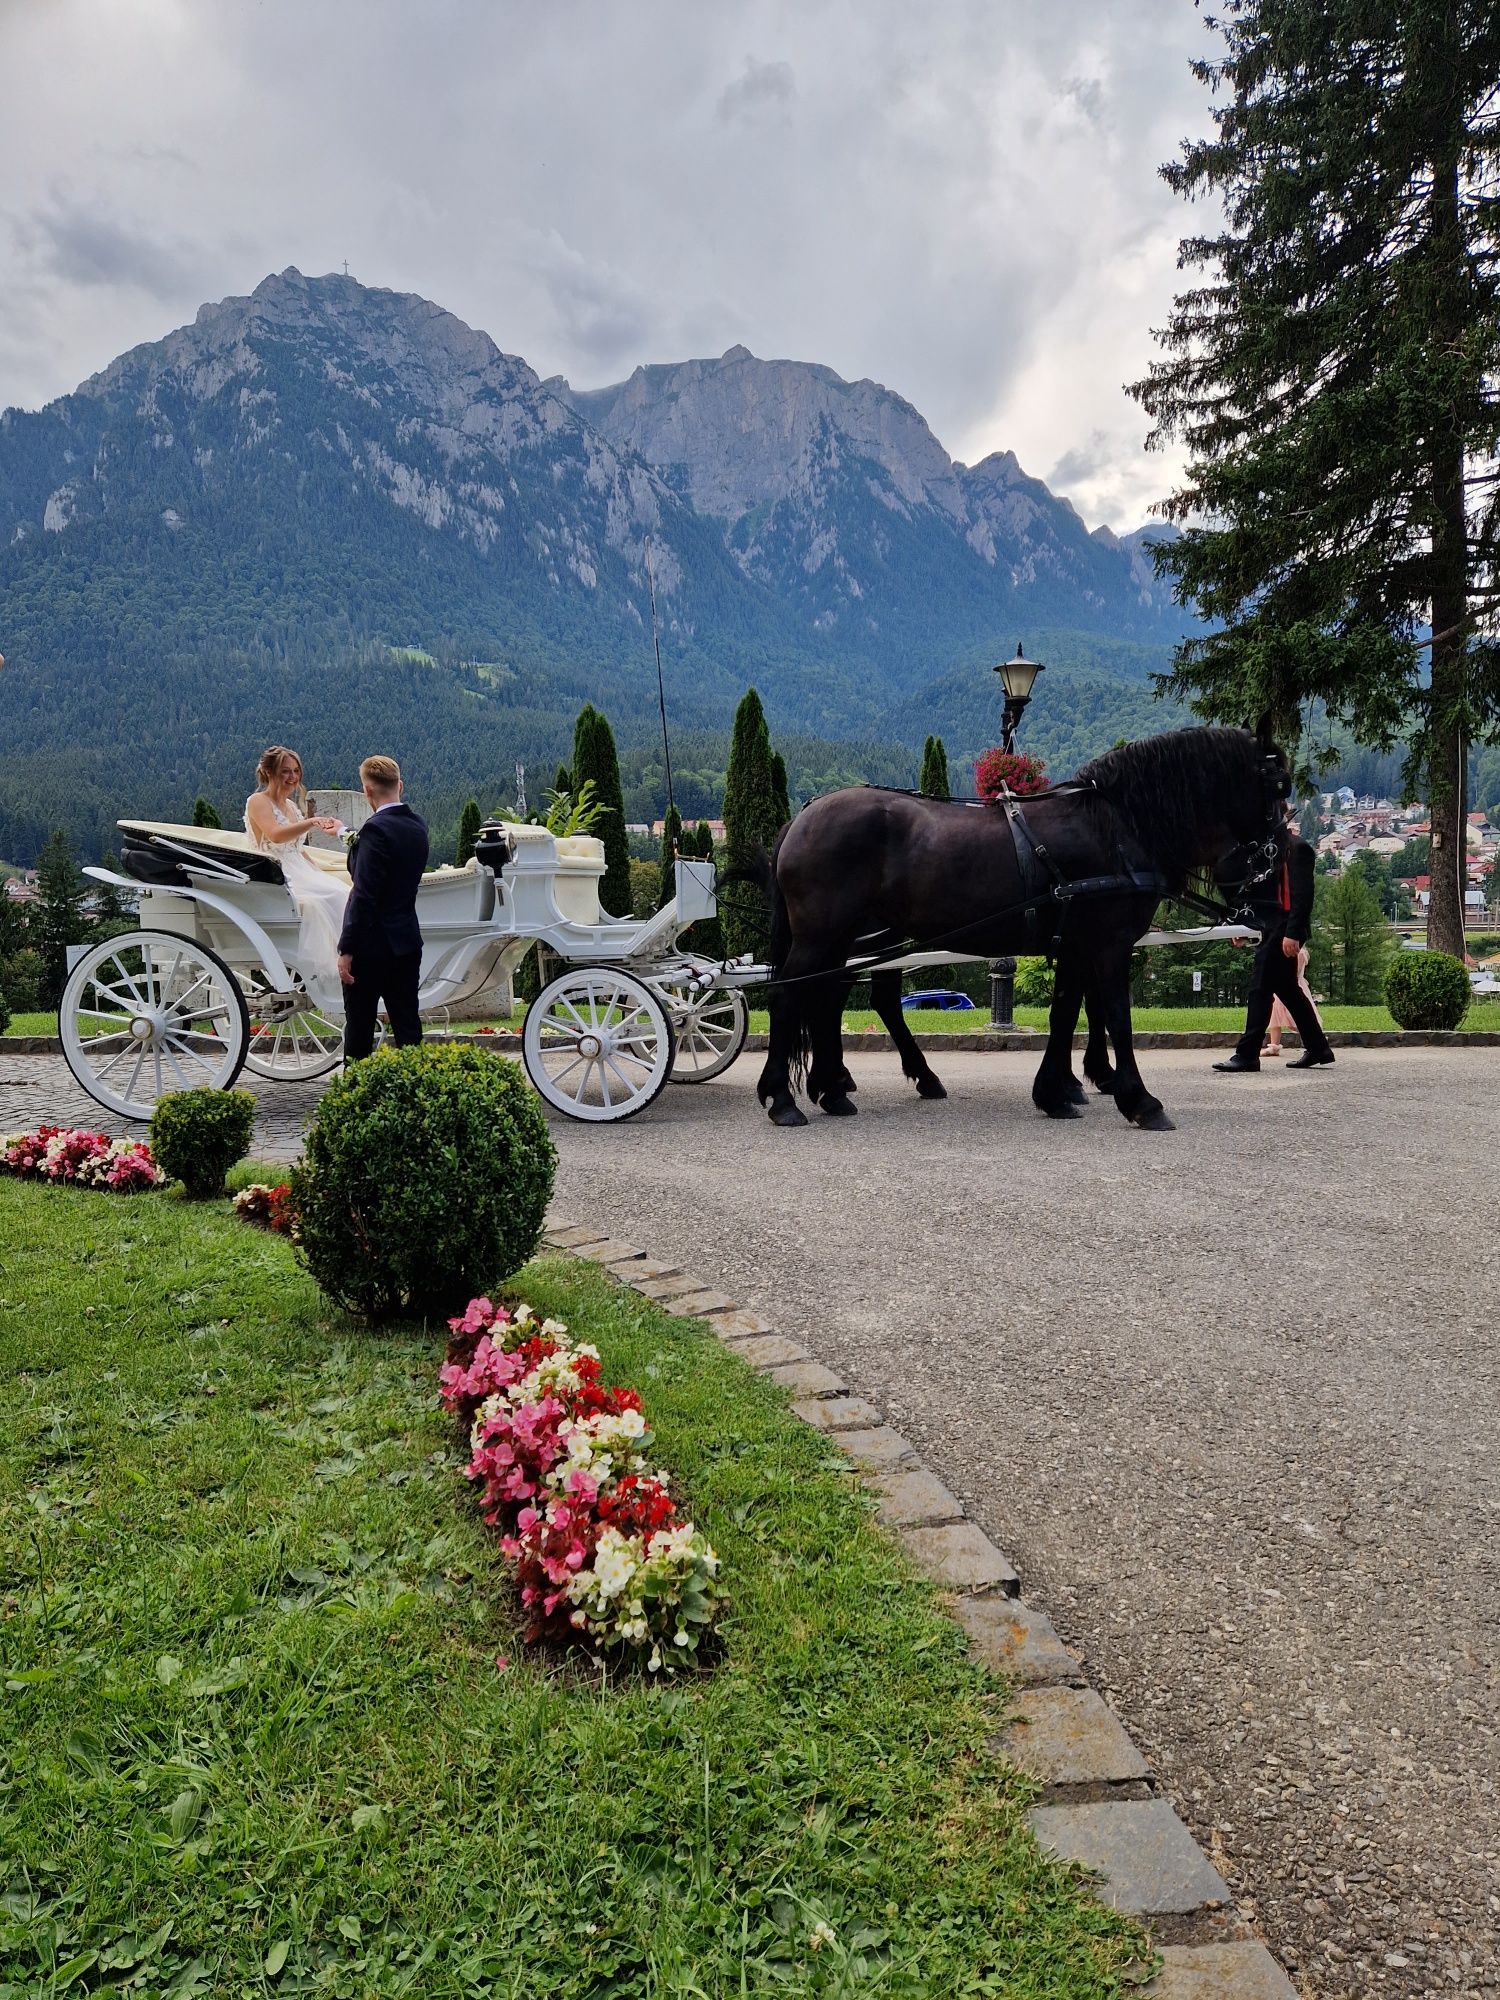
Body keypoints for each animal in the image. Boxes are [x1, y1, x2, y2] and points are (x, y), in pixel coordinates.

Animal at [756, 728, 1296, 1136]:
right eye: (1278, 787)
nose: (1273, 881)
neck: (1117, 827)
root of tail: (801, 818)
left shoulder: (1076, 946)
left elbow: (1065, 1015)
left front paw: (1056, 1093)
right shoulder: (1109, 944)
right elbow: (1116, 1018)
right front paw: (1139, 1100)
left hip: (847, 939)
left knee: (827, 1000)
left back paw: (833, 1088)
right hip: (824, 937)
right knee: (789, 997)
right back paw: (784, 1098)